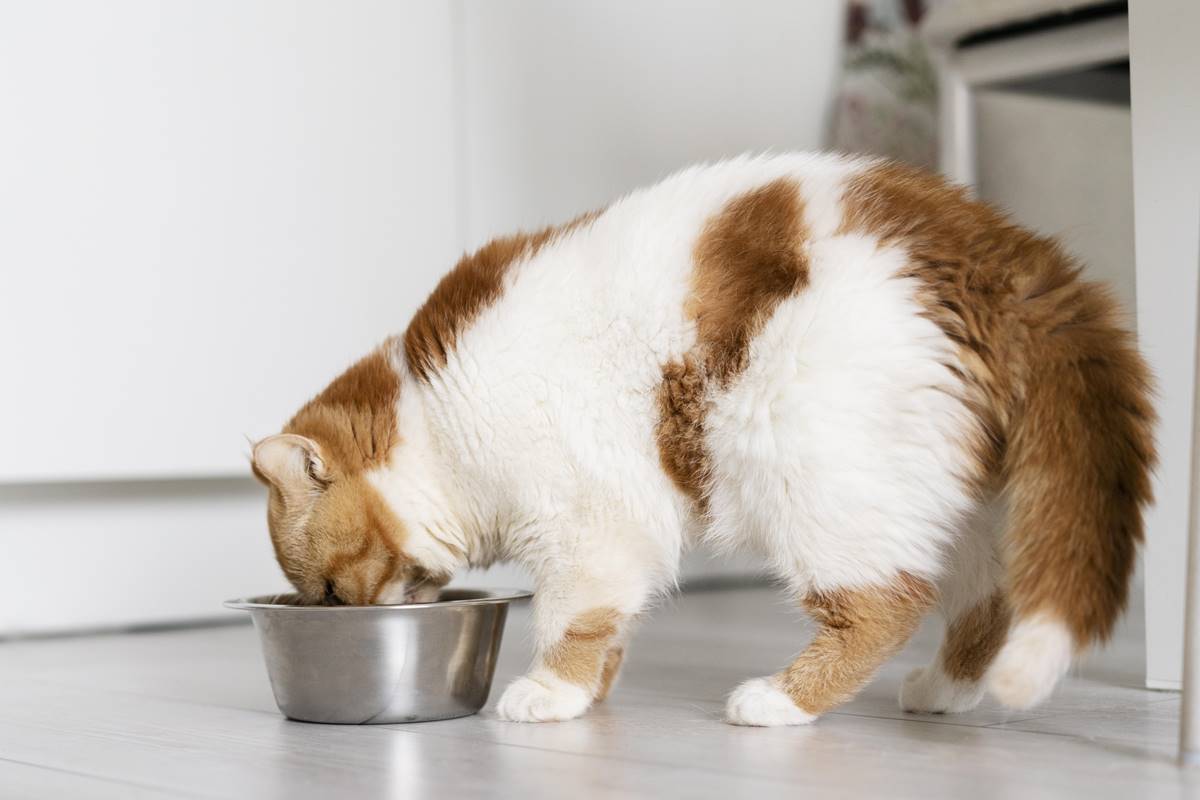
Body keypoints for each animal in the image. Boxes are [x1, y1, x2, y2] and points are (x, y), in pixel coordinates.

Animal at [250, 153, 1152, 729]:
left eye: (329, 593)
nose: (351, 616)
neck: (442, 420)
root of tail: (995, 248)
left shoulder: (587, 524)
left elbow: (571, 619)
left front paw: (552, 692)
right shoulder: (616, 536)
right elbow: (610, 623)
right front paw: (593, 691)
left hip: (812, 473)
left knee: (887, 604)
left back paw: (782, 701)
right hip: (957, 498)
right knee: (987, 599)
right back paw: (945, 690)